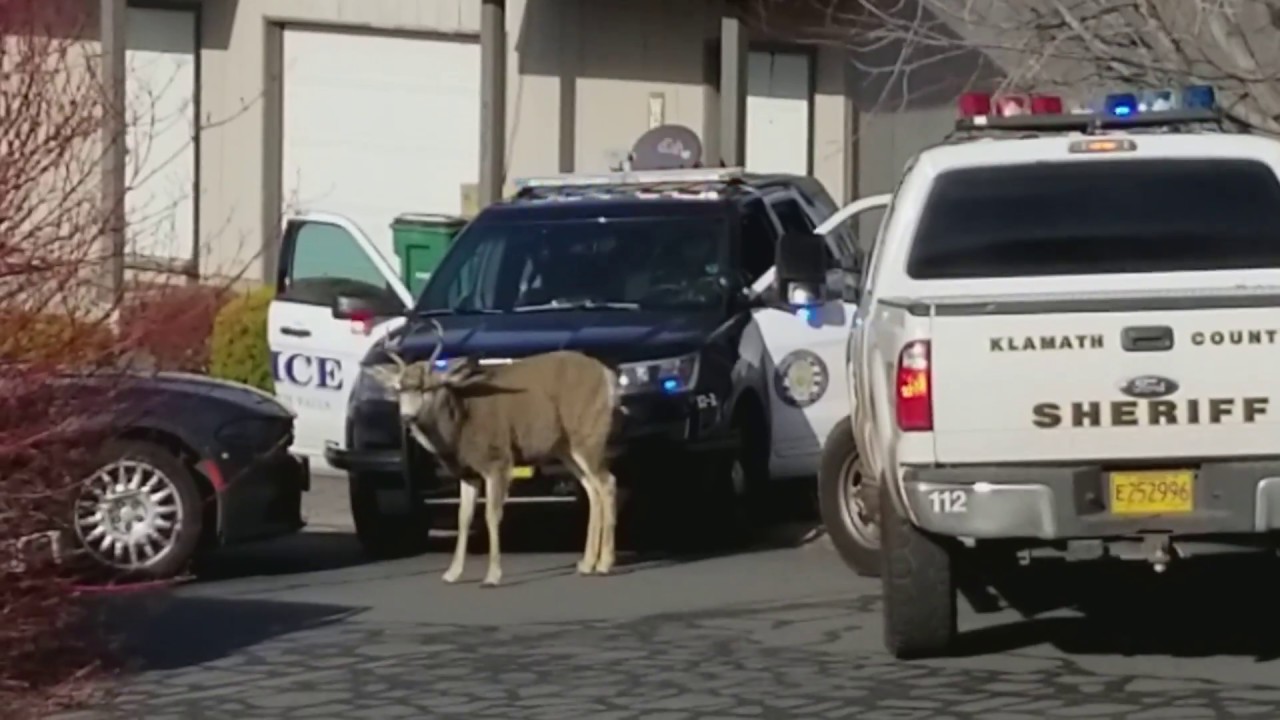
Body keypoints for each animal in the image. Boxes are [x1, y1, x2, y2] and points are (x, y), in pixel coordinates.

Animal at [371, 321, 620, 587]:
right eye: (398, 389)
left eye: (427, 387)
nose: (407, 417)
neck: (461, 422)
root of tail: (606, 374)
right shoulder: (468, 473)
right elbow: (463, 518)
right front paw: (452, 573)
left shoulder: (498, 460)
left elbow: (492, 515)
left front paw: (492, 575)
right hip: (565, 448)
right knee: (592, 488)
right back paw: (587, 563)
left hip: (587, 434)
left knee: (607, 482)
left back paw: (604, 564)